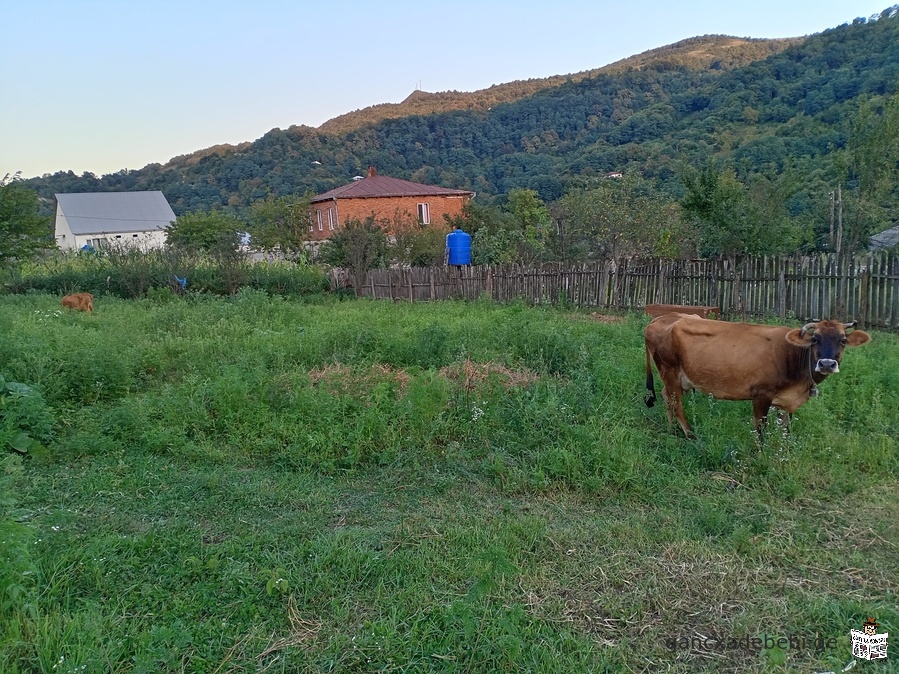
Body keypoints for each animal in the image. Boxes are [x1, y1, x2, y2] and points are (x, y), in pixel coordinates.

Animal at [648, 314, 872, 438]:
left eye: (843, 340)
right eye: (815, 339)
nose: (827, 364)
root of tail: (660, 319)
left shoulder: (786, 401)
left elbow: (786, 428)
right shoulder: (762, 395)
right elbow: (761, 429)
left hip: (676, 377)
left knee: (666, 396)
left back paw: (671, 429)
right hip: (670, 370)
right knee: (676, 403)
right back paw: (690, 434)